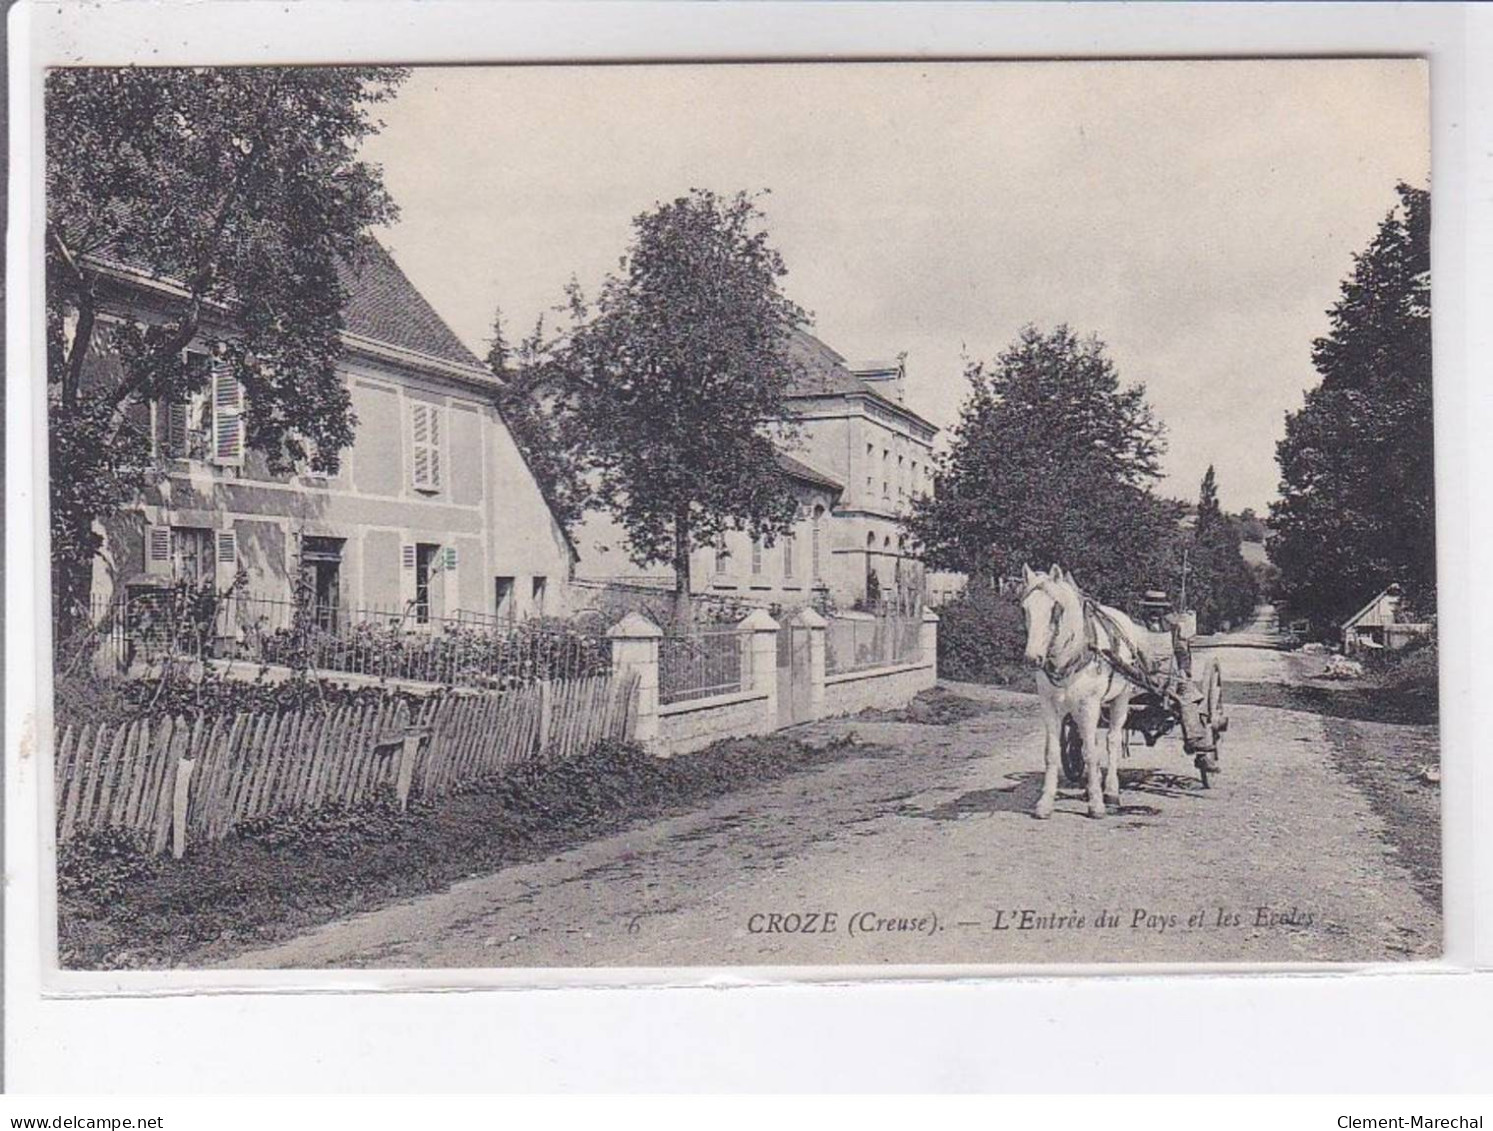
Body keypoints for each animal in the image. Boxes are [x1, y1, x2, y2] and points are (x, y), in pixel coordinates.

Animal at [1021, 564, 1146, 817]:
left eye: (1055, 609)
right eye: (1025, 609)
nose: (1032, 658)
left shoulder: (1089, 705)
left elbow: (1091, 753)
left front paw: (1096, 803)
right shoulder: (1048, 705)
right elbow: (1052, 752)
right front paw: (1045, 802)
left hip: (1120, 699)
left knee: (1111, 740)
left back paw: (1111, 790)